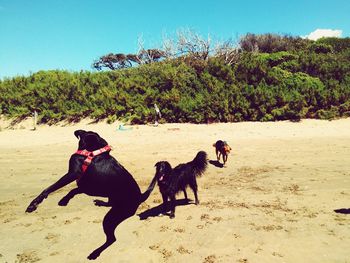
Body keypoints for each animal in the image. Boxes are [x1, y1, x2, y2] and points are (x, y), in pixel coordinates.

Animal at [26, 130, 158, 260]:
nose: (78, 131)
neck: (91, 152)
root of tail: (140, 196)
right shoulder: (86, 186)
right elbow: (73, 190)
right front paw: (64, 200)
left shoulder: (72, 174)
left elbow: (49, 188)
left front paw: (34, 204)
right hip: (112, 200)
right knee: (110, 204)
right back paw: (100, 202)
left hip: (112, 217)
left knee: (112, 239)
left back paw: (95, 253)